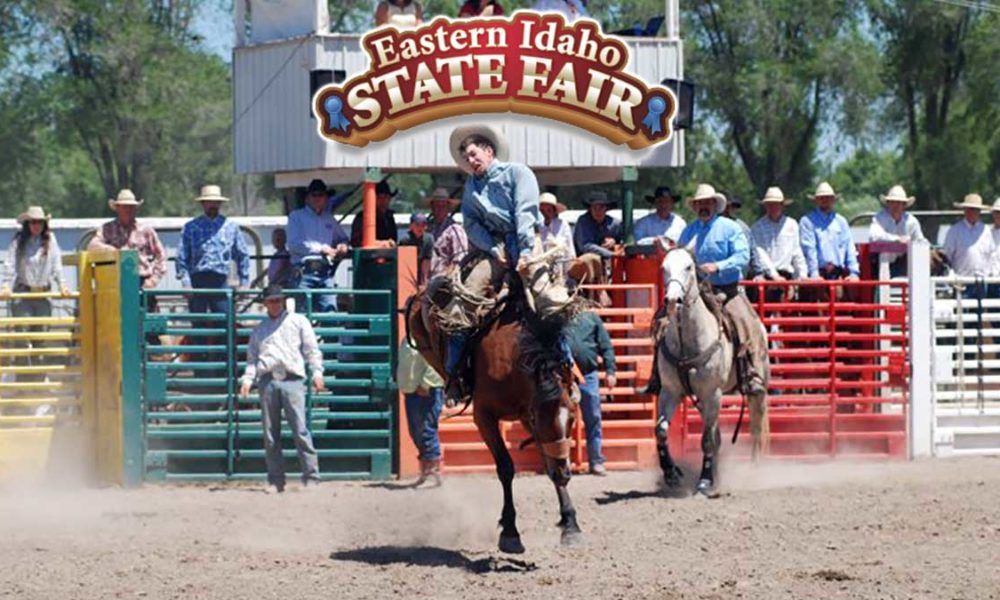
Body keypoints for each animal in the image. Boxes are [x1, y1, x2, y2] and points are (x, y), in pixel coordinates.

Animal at [652, 248, 768, 496]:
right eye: (664, 267)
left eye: (688, 267)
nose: (672, 300)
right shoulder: (670, 391)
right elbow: (661, 430)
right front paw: (671, 473)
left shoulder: (712, 393)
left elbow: (706, 441)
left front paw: (704, 482)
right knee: (718, 437)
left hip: (757, 392)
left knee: (756, 429)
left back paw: (753, 470)